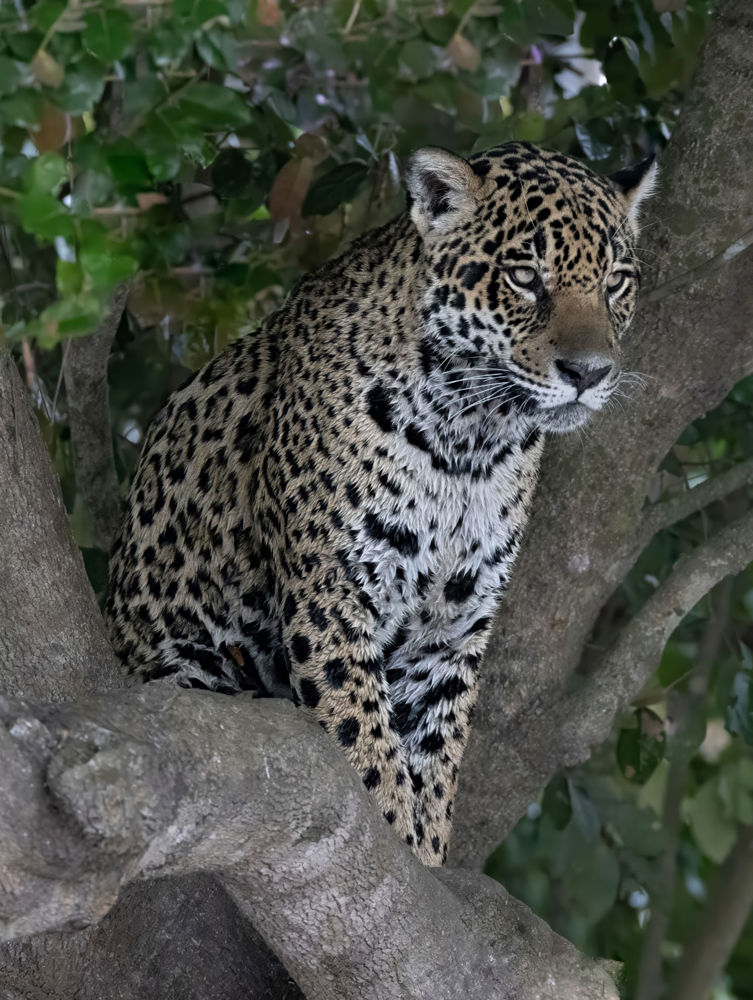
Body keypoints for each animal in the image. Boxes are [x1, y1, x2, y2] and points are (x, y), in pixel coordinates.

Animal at [105, 141, 656, 866]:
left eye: (614, 282)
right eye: (523, 277)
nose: (589, 373)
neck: (468, 443)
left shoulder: (452, 627)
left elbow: (435, 756)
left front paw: (427, 849)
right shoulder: (331, 588)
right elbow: (362, 735)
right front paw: (396, 829)